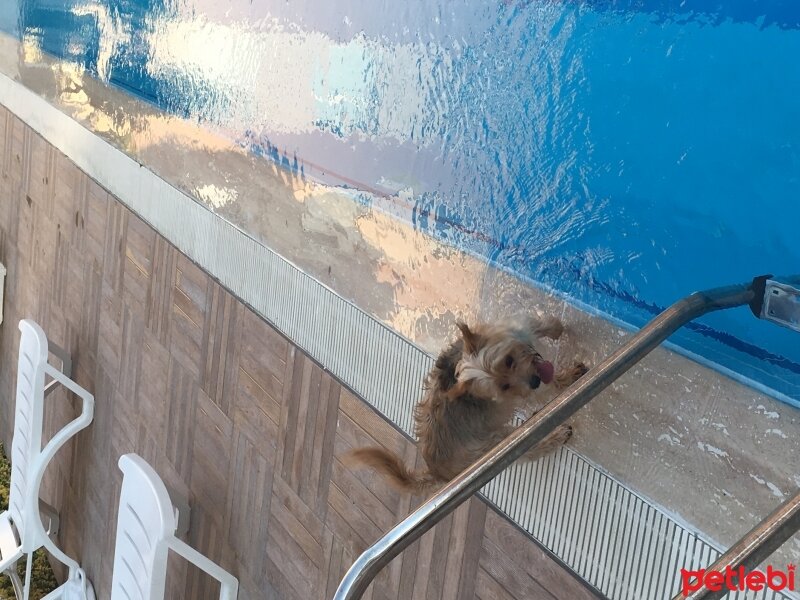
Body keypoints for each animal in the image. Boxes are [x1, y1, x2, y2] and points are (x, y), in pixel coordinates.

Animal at [346, 314, 588, 492]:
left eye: (508, 361)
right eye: (503, 387)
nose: (534, 380)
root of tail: (436, 471)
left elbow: (535, 326)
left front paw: (554, 328)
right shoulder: (526, 391)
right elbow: (549, 385)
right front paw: (567, 377)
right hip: (494, 443)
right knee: (530, 446)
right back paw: (555, 435)